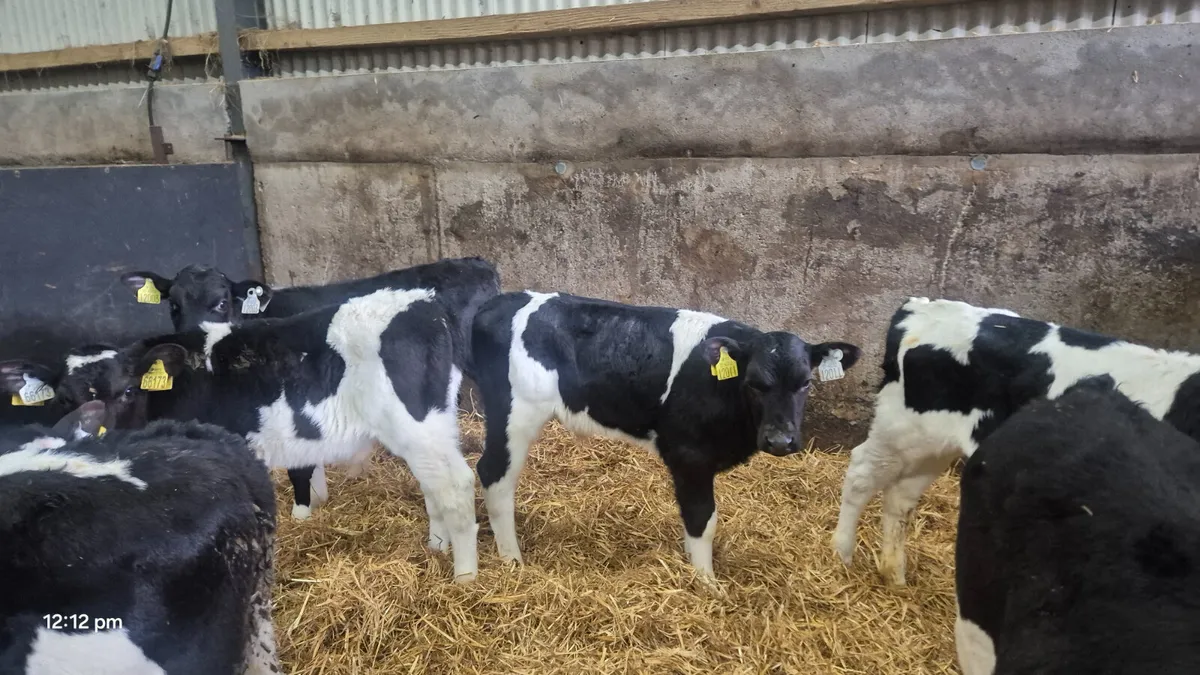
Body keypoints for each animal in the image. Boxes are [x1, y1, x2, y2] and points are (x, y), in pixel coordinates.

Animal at [2, 287, 480, 582]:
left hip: (417, 425)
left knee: (455, 485)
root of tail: (426, 302)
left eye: (130, 390)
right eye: (63, 399)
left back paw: (465, 576)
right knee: (434, 485)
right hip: (429, 428)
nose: (93, 432)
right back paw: (437, 546)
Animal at [471, 291, 861, 578]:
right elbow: (702, 518)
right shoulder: (689, 454)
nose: (780, 440)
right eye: (754, 383)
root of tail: (500, 301)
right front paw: (706, 582)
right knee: (494, 474)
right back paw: (512, 560)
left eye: (806, 382)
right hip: (515, 413)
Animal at [832, 296, 1200, 586]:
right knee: (862, 474)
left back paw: (894, 575)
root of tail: (919, 307)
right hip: (902, 429)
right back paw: (841, 556)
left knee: (900, 497)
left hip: (934, 446)